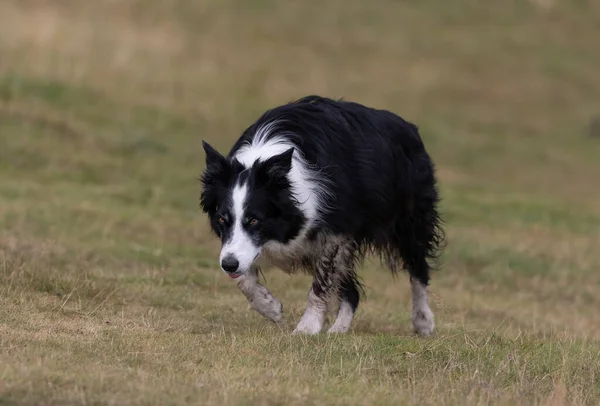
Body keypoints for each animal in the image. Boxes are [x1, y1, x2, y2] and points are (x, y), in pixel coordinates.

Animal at [199, 96, 442, 336]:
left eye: (254, 220)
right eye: (221, 220)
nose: (228, 266)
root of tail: (409, 127)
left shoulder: (336, 231)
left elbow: (322, 281)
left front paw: (307, 327)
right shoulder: (239, 247)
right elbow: (242, 275)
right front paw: (270, 307)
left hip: (409, 218)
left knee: (418, 268)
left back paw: (423, 321)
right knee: (352, 291)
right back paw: (338, 330)